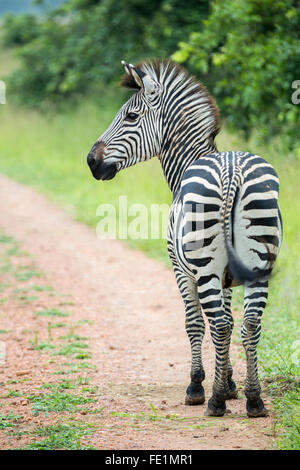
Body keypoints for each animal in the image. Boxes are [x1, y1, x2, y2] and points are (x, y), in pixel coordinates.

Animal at [86, 59, 282, 418]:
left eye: (130, 116)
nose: (91, 161)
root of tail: (232, 171)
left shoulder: (181, 270)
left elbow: (195, 324)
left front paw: (199, 385)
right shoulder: (227, 276)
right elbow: (230, 320)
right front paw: (231, 383)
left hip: (203, 267)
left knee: (218, 324)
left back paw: (215, 401)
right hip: (259, 265)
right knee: (249, 323)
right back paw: (255, 399)